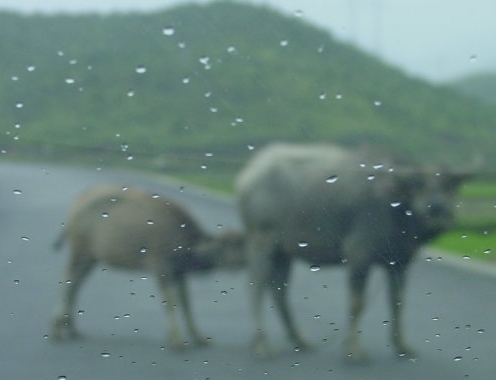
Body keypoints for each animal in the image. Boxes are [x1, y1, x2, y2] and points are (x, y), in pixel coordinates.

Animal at [238, 142, 470, 360]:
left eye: (450, 185)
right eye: (418, 184)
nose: (437, 207)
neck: (396, 208)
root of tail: (248, 175)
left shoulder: (400, 263)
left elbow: (398, 302)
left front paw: (402, 345)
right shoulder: (358, 255)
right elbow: (357, 303)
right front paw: (354, 350)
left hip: (283, 251)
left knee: (279, 290)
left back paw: (298, 339)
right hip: (261, 239)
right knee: (255, 286)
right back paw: (262, 343)